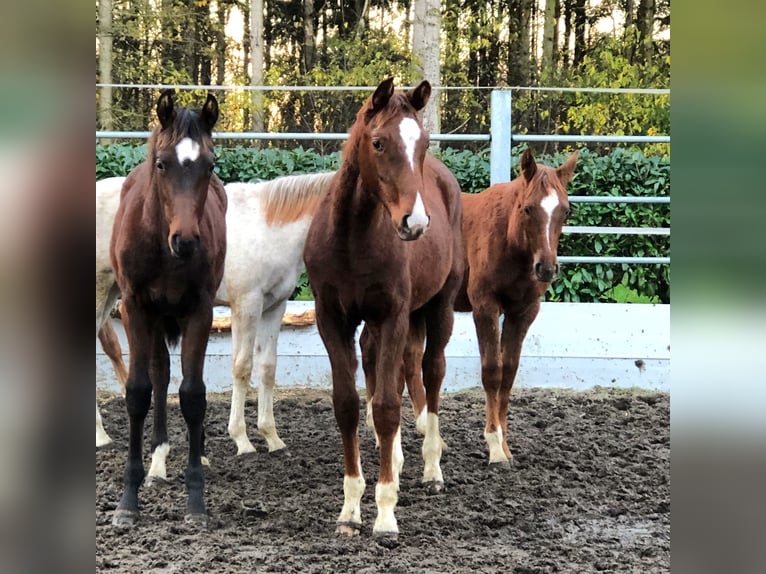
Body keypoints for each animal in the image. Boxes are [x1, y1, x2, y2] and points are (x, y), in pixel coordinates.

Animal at [96, 171, 336, 464]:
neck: (269, 230)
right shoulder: (246, 304)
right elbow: (242, 367)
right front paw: (242, 440)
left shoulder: (274, 307)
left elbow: (268, 367)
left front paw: (272, 438)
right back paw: (100, 435)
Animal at [304, 77, 462, 540]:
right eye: (378, 142)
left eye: (422, 143)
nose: (416, 223)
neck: (352, 239)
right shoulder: (332, 320)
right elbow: (348, 405)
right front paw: (350, 510)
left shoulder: (392, 316)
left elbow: (389, 407)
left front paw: (386, 514)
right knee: (383, 366)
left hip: (440, 307)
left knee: (431, 371)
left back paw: (431, 469)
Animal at [452, 150, 580, 468]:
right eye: (528, 209)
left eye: (566, 211)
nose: (546, 268)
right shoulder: (484, 307)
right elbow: (492, 371)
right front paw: (494, 445)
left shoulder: (522, 312)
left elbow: (508, 373)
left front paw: (506, 445)